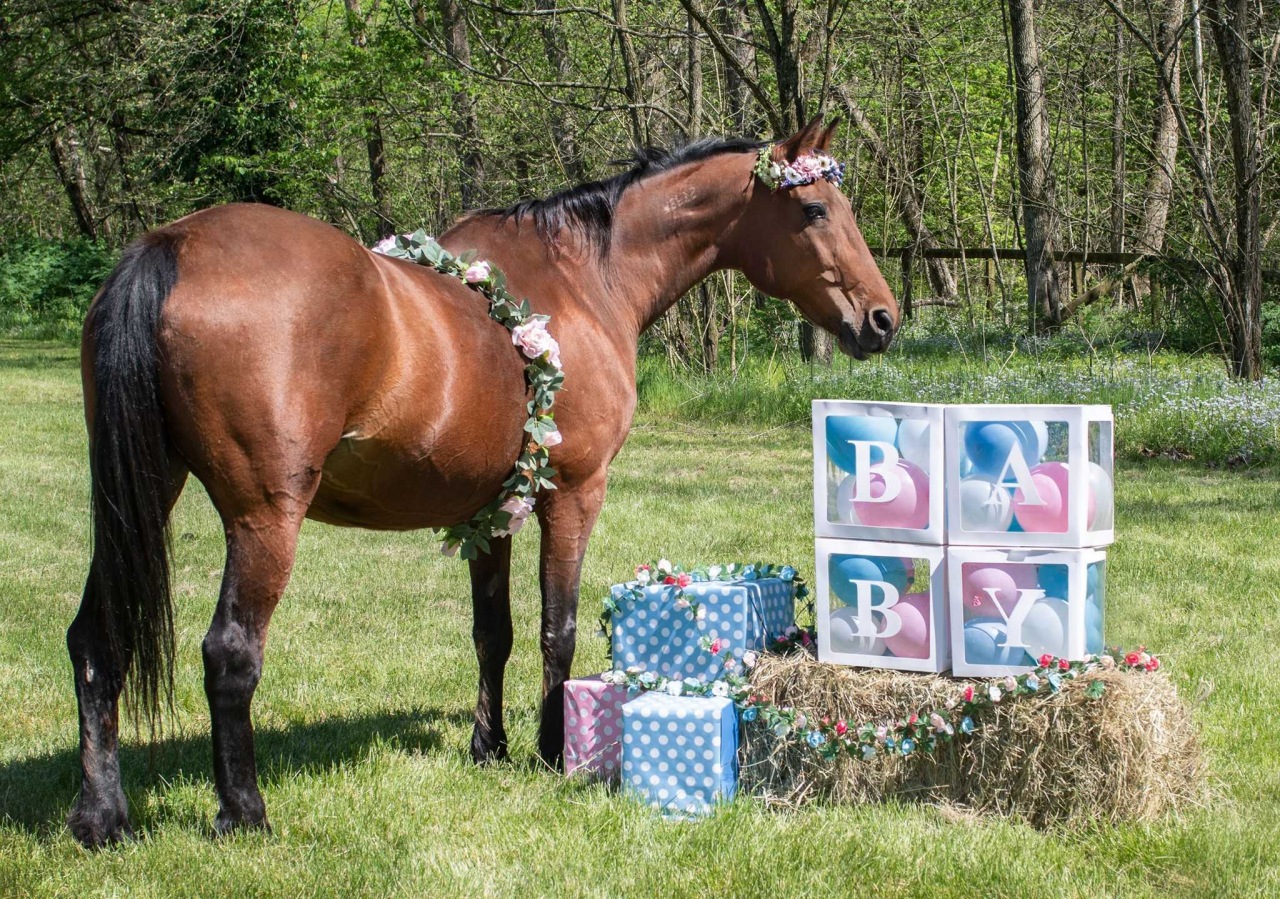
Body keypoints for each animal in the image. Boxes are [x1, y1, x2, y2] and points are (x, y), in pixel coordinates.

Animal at [67, 116, 890, 850]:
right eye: (815, 210)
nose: (882, 319)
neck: (585, 281)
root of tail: (171, 244)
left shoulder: (492, 510)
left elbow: (492, 632)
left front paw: (487, 746)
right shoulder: (573, 493)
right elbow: (558, 628)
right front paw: (554, 749)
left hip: (145, 496)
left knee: (95, 642)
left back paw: (103, 817)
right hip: (265, 517)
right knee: (230, 654)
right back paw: (244, 812)